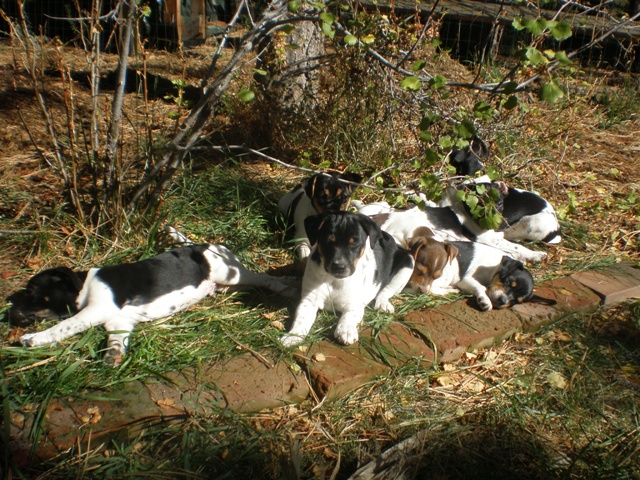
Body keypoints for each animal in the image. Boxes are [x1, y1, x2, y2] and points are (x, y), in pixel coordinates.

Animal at [11, 231, 294, 366]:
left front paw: (33, 339)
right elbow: (116, 341)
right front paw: (114, 356)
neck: (84, 286)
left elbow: (63, 326)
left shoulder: (97, 310)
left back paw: (286, 286)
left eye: (31, 291)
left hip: (227, 273)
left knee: (263, 279)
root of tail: (204, 244)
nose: (10, 314)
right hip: (225, 283)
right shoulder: (118, 322)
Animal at [282, 212, 416, 346]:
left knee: (386, 291)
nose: (339, 266)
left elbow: (349, 317)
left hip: (408, 263)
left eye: (354, 243)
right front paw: (292, 336)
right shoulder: (309, 300)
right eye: (328, 242)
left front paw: (346, 331)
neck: (333, 280)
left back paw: (383, 304)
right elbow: (301, 320)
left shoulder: (354, 304)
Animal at [404, 227, 536, 310]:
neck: (495, 266)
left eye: (515, 301)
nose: (502, 301)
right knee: (429, 290)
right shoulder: (466, 279)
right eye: (508, 282)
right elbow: (481, 287)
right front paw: (485, 300)